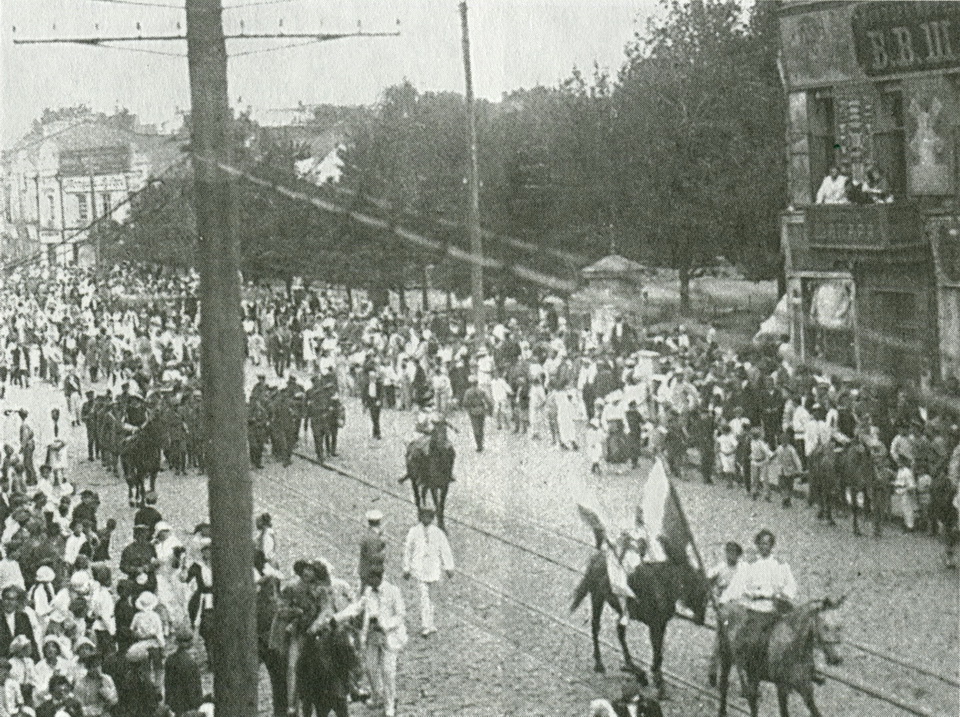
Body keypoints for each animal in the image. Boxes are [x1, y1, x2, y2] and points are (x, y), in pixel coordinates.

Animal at [572, 544, 708, 696]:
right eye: (698, 593)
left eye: (707, 595)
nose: (701, 620)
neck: (664, 586)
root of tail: (596, 558)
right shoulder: (655, 625)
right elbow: (656, 648)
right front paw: (658, 680)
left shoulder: (661, 624)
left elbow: (658, 649)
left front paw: (655, 674)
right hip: (597, 597)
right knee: (596, 627)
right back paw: (600, 664)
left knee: (619, 631)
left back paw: (632, 668)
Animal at [716, 596, 844, 716]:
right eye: (825, 627)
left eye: (840, 627)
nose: (837, 658)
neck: (794, 648)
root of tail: (725, 607)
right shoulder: (782, 687)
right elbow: (784, 713)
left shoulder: (805, 687)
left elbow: (815, 712)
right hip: (726, 659)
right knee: (724, 685)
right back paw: (722, 711)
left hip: (752, 672)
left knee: (752, 698)